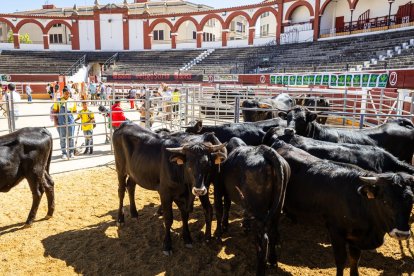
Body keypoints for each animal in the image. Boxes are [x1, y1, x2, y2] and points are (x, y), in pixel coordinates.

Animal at [112, 122, 226, 254]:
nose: (199, 190)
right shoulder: (165, 193)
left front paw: (187, 238)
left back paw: (134, 213)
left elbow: (185, 216)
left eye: (207, 165)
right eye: (188, 165)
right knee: (121, 191)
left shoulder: (183, 196)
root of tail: (125, 124)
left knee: (131, 187)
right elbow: (168, 218)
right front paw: (167, 245)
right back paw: (120, 219)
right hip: (120, 169)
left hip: (134, 172)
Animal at [213, 137, 292, 274]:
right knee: (273, 232)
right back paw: (272, 260)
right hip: (278, 206)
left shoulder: (219, 188)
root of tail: (267, 151)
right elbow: (227, 206)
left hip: (259, 210)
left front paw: (219, 232)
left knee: (263, 240)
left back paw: (260, 270)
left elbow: (220, 209)